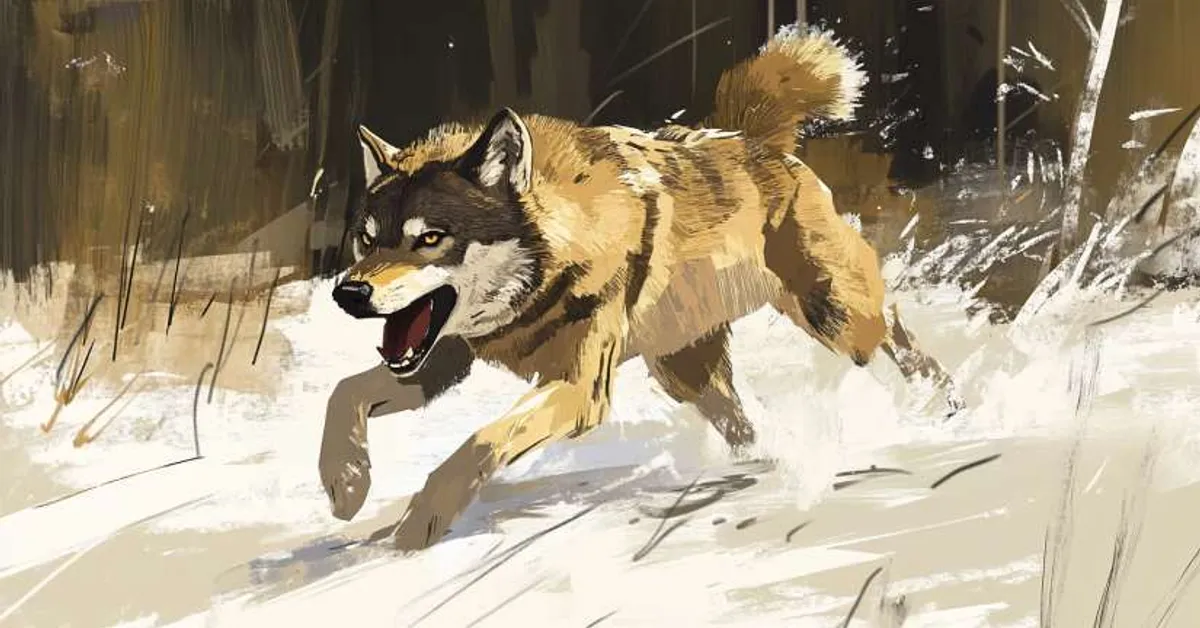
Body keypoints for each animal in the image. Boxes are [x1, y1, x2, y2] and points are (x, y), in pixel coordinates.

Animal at [318, 25, 961, 551]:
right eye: (367, 241)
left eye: (429, 239)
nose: (348, 295)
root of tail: (756, 139)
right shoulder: (443, 360)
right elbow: (345, 394)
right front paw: (346, 486)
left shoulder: (579, 389)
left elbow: (478, 443)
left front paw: (418, 526)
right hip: (687, 375)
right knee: (745, 426)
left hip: (836, 319)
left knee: (896, 332)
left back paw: (942, 405)